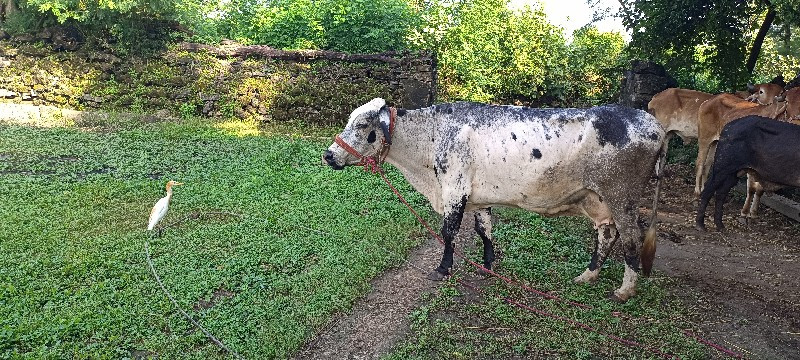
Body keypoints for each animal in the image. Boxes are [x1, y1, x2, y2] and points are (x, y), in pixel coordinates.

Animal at [322, 97, 664, 300]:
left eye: (362, 124)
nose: (329, 155)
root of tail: (654, 125)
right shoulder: (477, 197)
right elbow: (484, 229)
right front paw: (488, 264)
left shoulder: (454, 189)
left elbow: (449, 232)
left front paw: (443, 269)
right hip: (597, 199)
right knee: (606, 234)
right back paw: (588, 275)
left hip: (622, 197)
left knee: (630, 239)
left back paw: (624, 289)